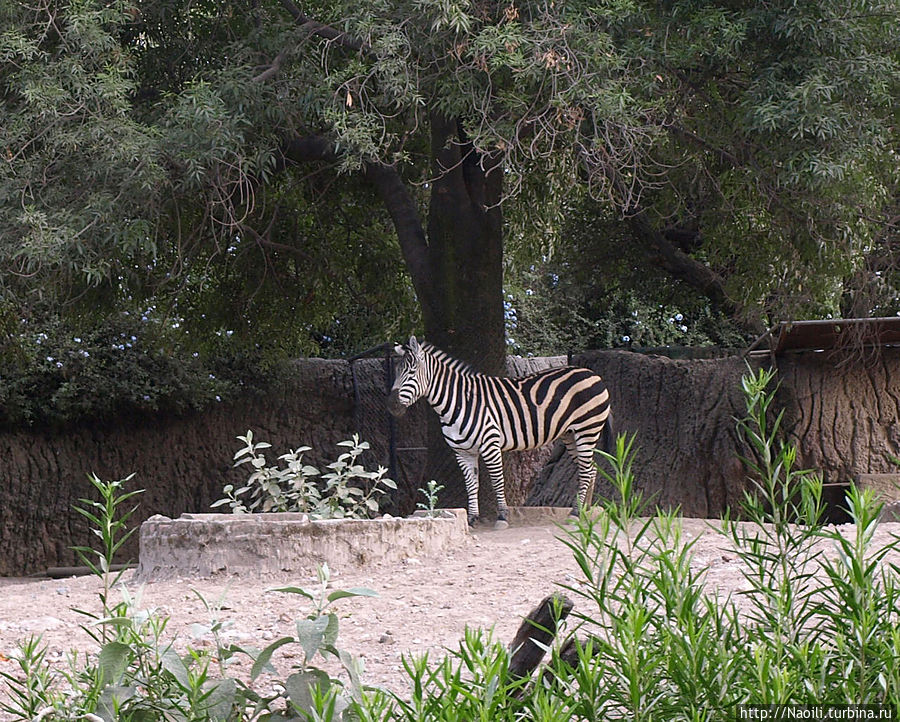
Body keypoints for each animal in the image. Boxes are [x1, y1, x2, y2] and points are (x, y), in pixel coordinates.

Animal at [386, 334, 612, 524]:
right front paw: (472, 519)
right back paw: (584, 511)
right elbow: (472, 484)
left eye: (411, 372)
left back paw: (576, 512)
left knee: (586, 470)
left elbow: (497, 481)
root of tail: (591, 373)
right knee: (590, 469)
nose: (392, 405)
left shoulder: (490, 444)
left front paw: (502, 516)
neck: (459, 402)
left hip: (587, 429)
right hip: (570, 435)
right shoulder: (462, 452)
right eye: (396, 372)